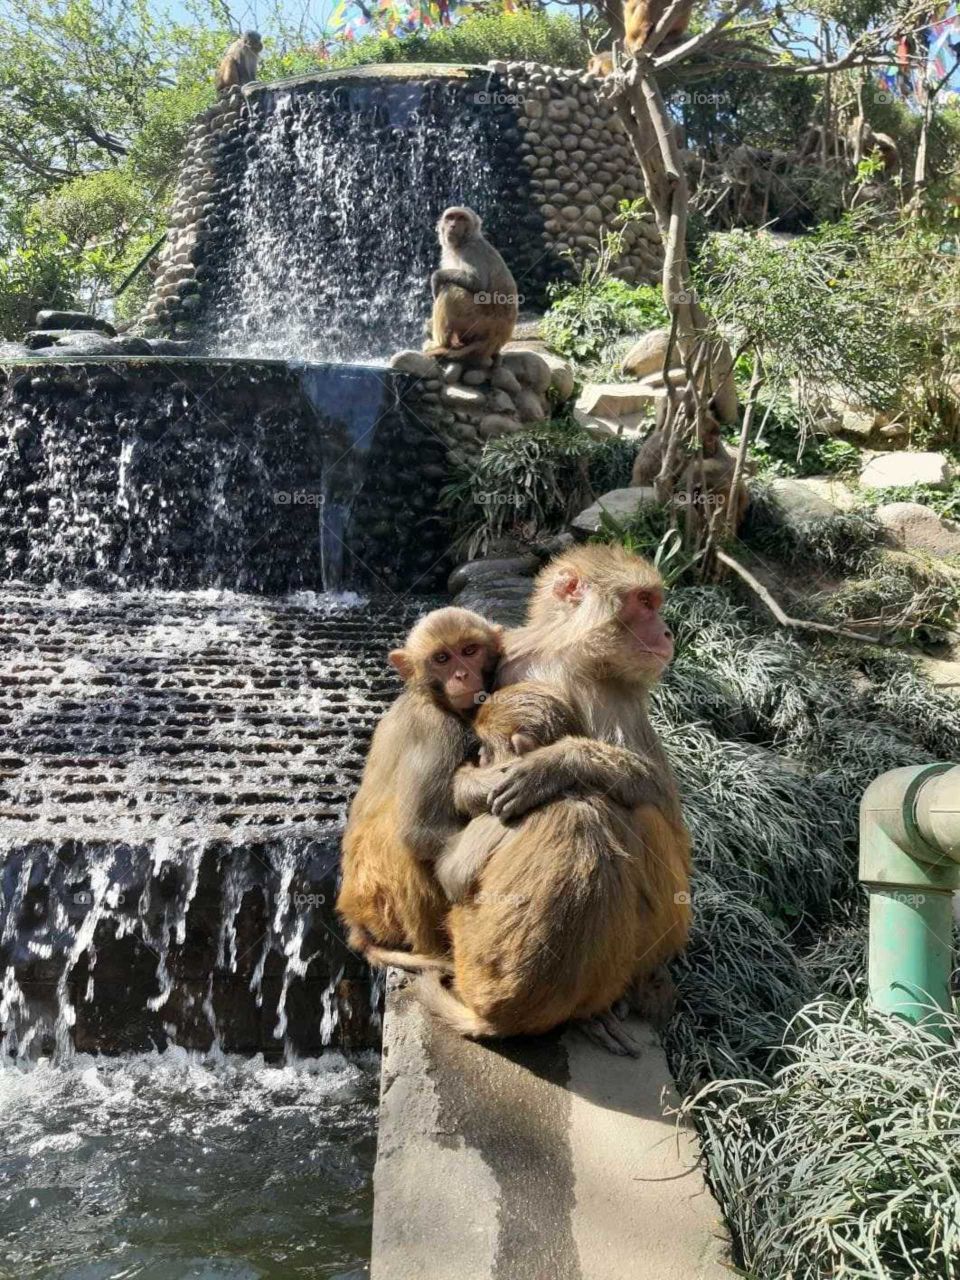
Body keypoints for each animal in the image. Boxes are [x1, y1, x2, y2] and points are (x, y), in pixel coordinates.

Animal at [336, 608, 503, 971]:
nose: (462, 674)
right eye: (442, 658)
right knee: (401, 846)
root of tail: (354, 919)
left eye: (470, 650)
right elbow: (417, 833)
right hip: (379, 904)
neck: (433, 699)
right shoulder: (434, 731)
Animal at [419, 681, 691, 1046]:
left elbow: (452, 877)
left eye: (486, 748)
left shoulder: (499, 816)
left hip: (467, 954)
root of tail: (503, 1020)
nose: (479, 758)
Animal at [424, 207, 518, 363]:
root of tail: (496, 340)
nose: (452, 226)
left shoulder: (472, 249)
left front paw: (436, 277)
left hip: (480, 321)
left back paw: (440, 344)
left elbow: (477, 283)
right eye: (450, 217)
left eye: (461, 218)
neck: (463, 242)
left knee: (451, 290)